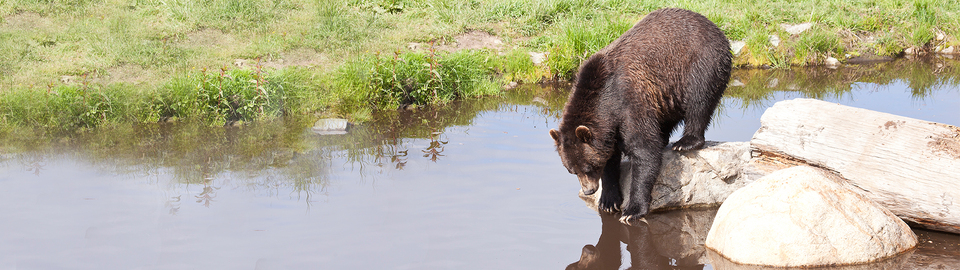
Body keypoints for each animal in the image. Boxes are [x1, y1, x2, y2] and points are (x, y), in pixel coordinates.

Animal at [552, 7, 732, 224]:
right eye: (571, 170)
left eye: (588, 167)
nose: (588, 191)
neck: (606, 101)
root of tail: (712, 24)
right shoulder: (611, 126)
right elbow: (611, 157)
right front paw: (609, 200)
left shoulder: (629, 101)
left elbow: (644, 150)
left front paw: (632, 210)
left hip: (700, 63)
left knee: (699, 101)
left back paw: (685, 142)